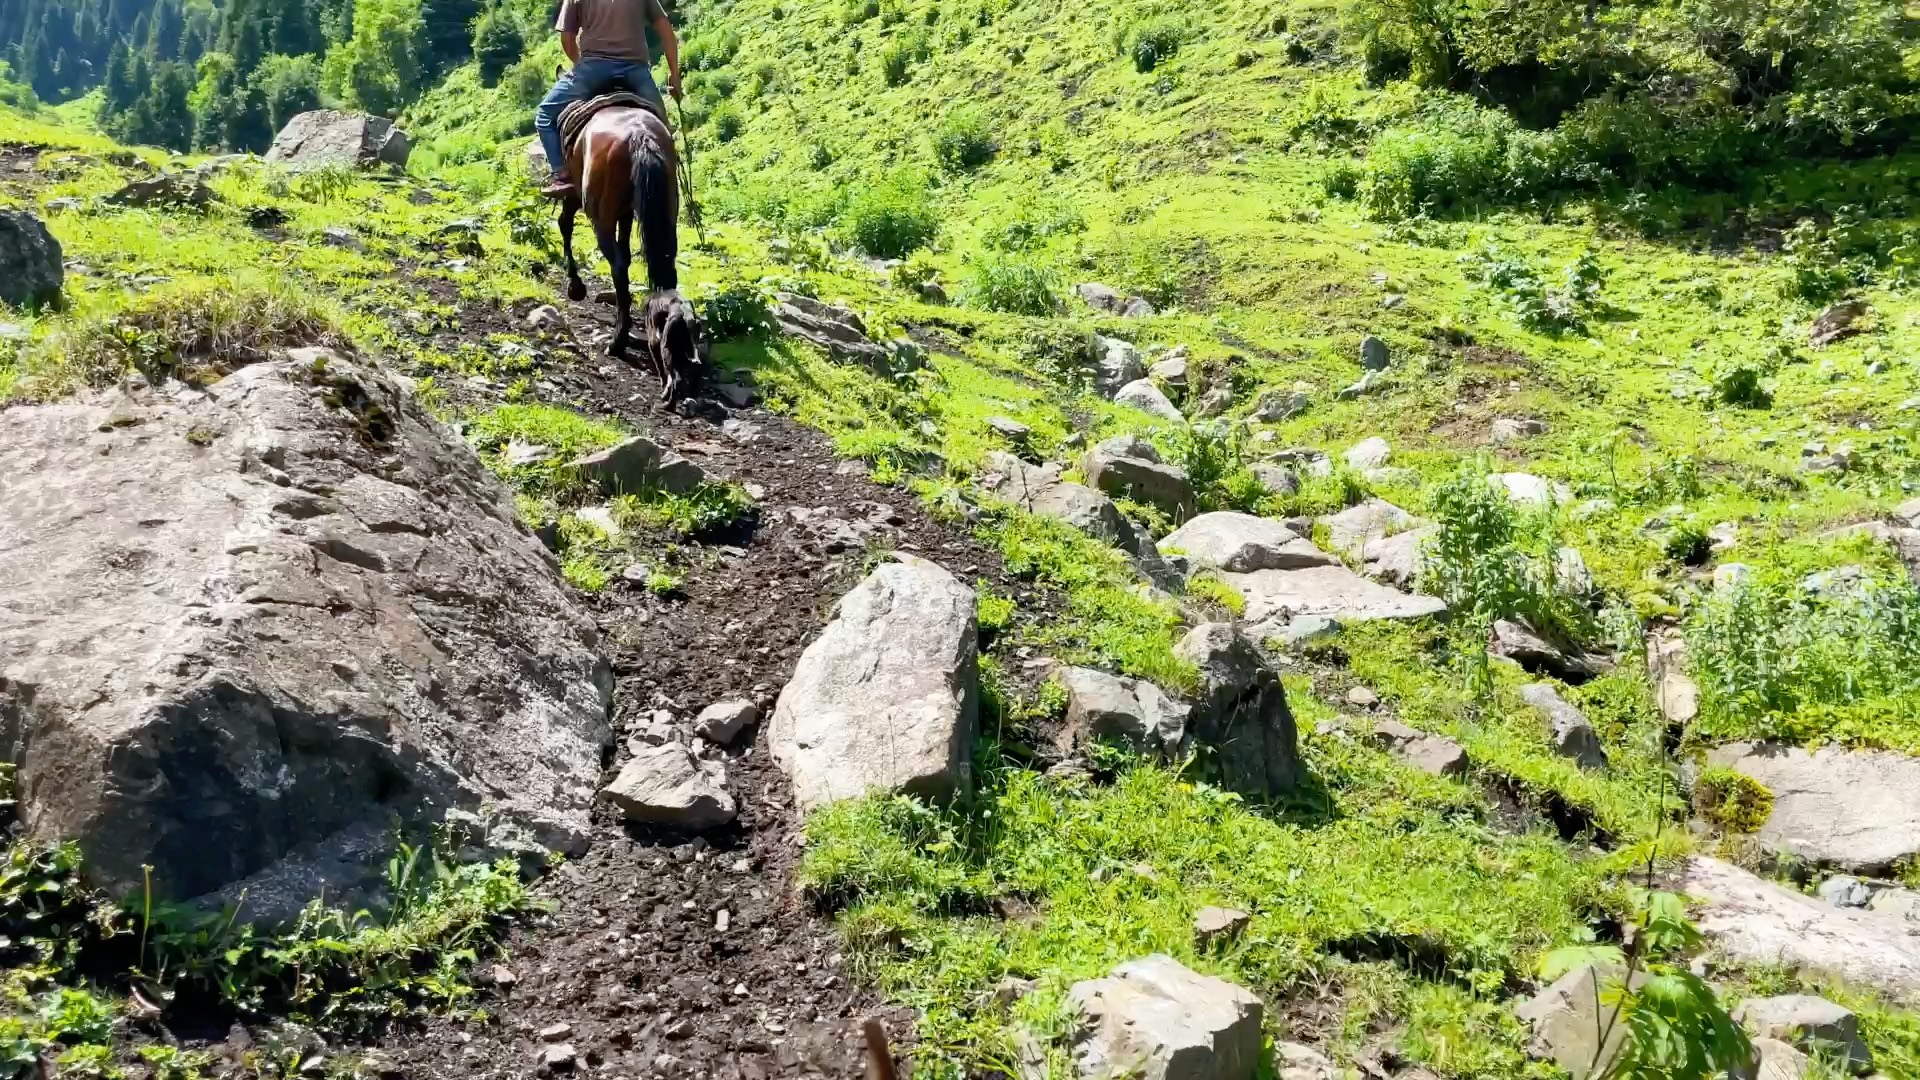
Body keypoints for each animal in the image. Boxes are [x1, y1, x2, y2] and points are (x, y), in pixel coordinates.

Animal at [560, 101, 702, 399]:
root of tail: (639, 135)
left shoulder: (574, 191)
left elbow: (564, 225)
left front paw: (575, 286)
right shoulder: (626, 212)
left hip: (599, 215)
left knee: (617, 265)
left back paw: (618, 340)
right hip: (666, 208)